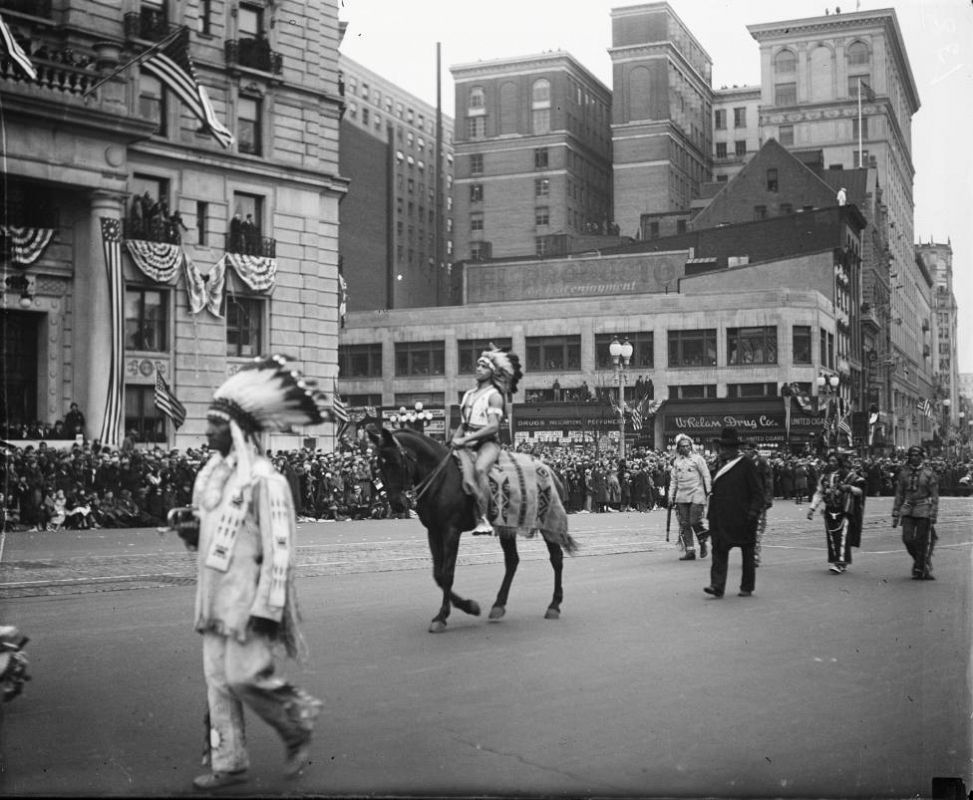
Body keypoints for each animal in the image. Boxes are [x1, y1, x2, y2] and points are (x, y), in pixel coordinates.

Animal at [368, 428, 572, 636]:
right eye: (378, 465)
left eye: (395, 461)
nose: (397, 504)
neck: (441, 479)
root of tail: (549, 469)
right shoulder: (433, 531)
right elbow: (438, 574)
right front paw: (469, 606)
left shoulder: (451, 531)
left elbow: (447, 574)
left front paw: (443, 616)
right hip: (507, 526)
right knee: (512, 561)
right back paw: (498, 605)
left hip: (548, 522)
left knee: (556, 558)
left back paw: (554, 605)